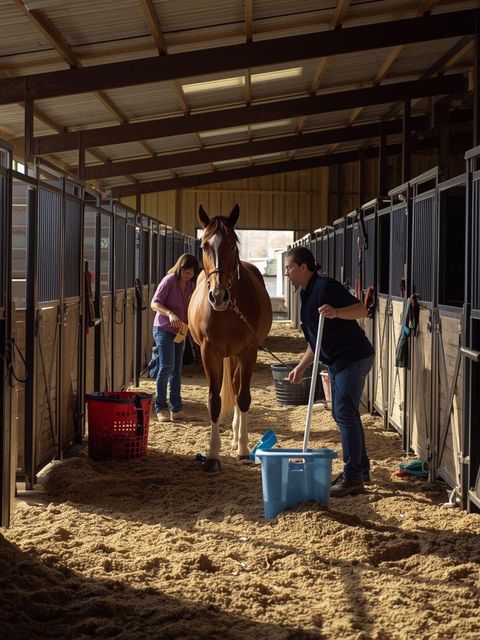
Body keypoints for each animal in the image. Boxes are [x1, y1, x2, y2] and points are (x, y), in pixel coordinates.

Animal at [188, 204, 273, 473]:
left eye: (232, 245)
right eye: (204, 245)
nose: (218, 296)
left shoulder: (248, 351)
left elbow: (243, 396)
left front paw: (244, 450)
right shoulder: (209, 352)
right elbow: (214, 401)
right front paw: (212, 455)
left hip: (236, 355)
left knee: (236, 387)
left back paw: (237, 438)